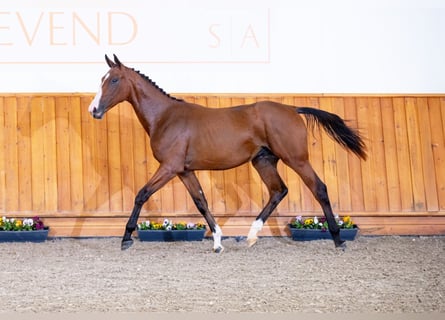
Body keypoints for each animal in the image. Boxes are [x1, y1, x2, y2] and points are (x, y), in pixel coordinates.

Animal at [88, 55, 366, 252]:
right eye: (102, 78)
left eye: (113, 80)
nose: (94, 110)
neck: (165, 117)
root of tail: (292, 109)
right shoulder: (184, 171)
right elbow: (200, 202)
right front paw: (218, 242)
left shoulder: (169, 167)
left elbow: (141, 194)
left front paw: (126, 238)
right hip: (263, 161)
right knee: (278, 191)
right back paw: (251, 237)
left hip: (296, 159)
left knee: (319, 188)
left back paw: (339, 241)